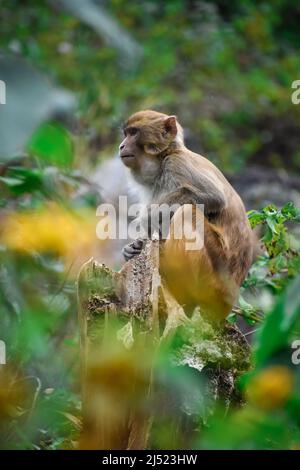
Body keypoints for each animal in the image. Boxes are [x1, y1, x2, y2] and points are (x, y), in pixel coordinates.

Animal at [118, 110, 254, 324]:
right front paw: (131, 248)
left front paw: (146, 219)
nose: (121, 145)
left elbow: (213, 197)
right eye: (126, 133)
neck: (163, 160)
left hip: (215, 279)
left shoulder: (178, 164)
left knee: (186, 213)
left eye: (133, 133)